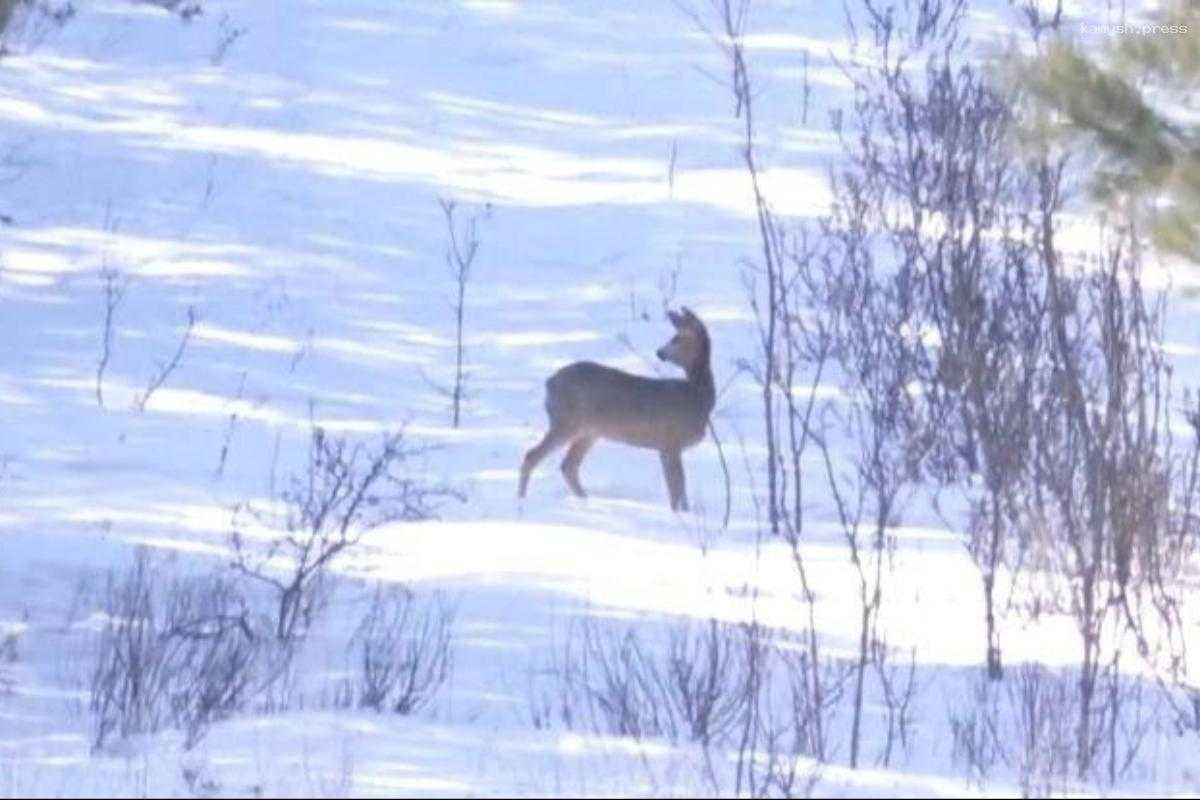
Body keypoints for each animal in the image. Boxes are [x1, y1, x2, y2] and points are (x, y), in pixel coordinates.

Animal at [516, 303, 710, 510]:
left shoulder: (670, 446)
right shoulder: (670, 441)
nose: (660, 352)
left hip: (588, 431)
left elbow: (680, 486)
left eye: (677, 339)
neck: (698, 397)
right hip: (566, 421)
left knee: (568, 466)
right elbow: (676, 486)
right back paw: (521, 500)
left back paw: (585, 500)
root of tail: (549, 382)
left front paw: (685, 511)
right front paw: (678, 513)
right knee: (532, 456)